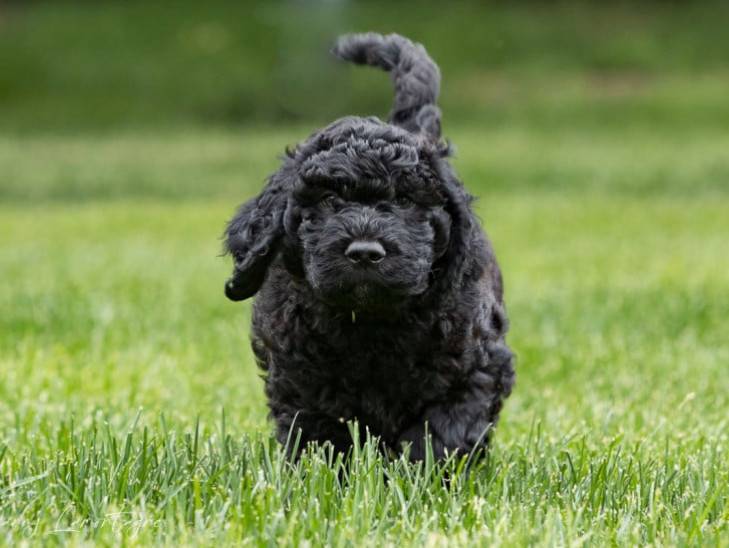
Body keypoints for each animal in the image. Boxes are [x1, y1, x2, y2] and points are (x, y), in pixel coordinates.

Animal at [224, 33, 515, 461]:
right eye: (329, 200)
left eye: (406, 201)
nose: (364, 252)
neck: (369, 321)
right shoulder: (299, 372)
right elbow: (321, 432)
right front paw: (327, 472)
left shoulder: (476, 363)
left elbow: (445, 426)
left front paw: (425, 470)